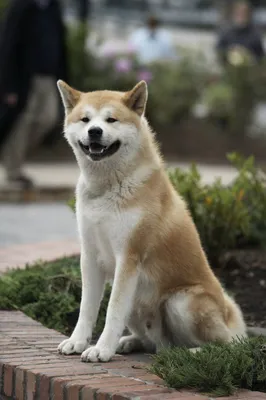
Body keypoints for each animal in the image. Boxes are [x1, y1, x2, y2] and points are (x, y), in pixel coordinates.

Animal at [57, 79, 246, 362]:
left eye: (111, 119)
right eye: (85, 119)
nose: (95, 131)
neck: (108, 187)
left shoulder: (129, 257)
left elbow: (112, 310)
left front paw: (101, 349)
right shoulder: (90, 256)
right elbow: (87, 308)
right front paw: (77, 341)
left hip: (180, 302)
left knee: (225, 345)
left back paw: (193, 352)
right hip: (139, 305)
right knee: (153, 343)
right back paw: (130, 342)